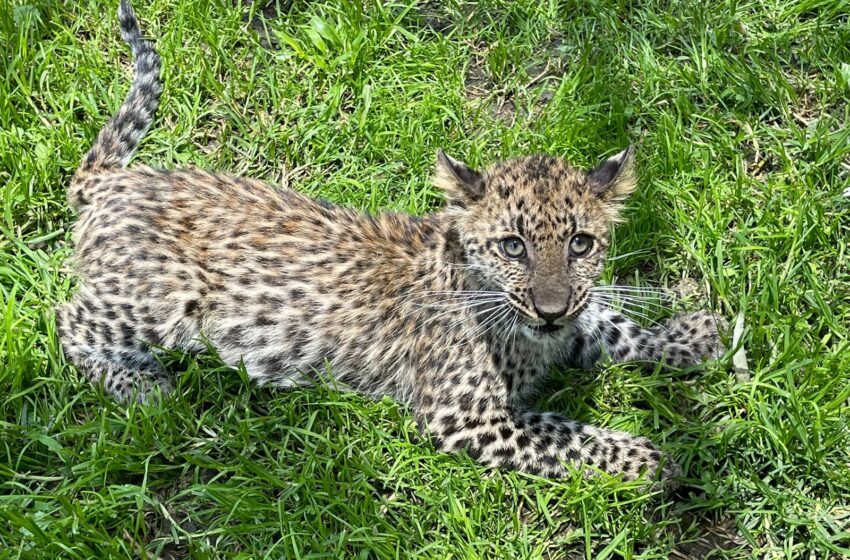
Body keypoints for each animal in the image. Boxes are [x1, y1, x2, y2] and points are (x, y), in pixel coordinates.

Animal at [57, 0, 726, 486]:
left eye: (582, 243)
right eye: (512, 246)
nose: (549, 309)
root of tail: (118, 180)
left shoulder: (564, 325)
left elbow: (608, 324)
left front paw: (697, 336)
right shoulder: (467, 416)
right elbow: (570, 436)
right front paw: (654, 460)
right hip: (158, 302)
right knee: (68, 320)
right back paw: (145, 387)